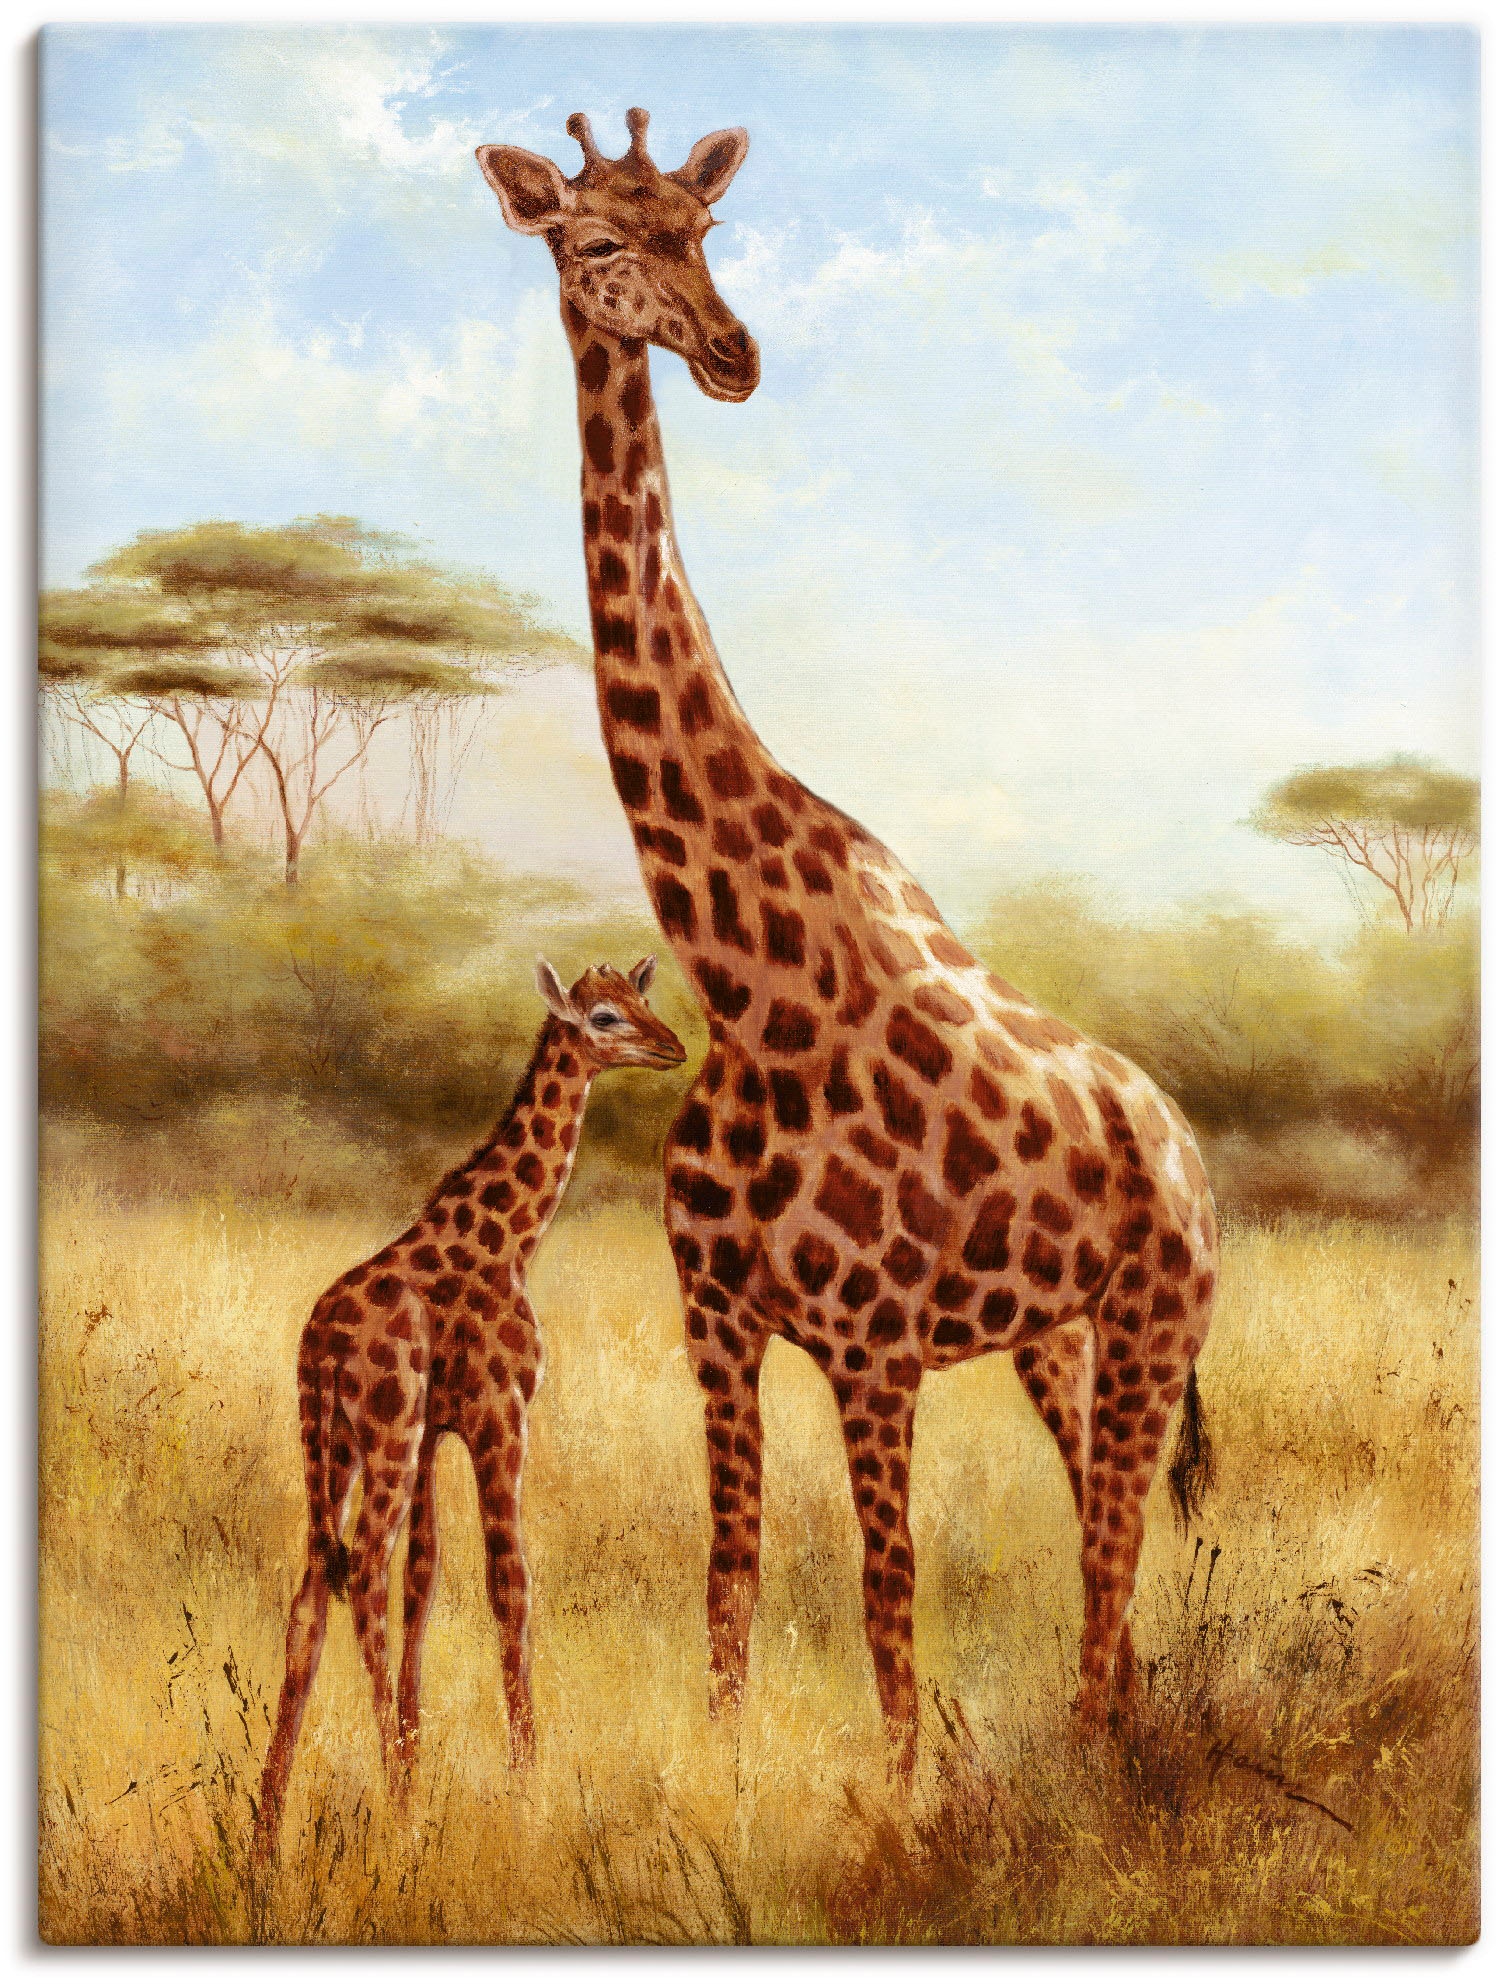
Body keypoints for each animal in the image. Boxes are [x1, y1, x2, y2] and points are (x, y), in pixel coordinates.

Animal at [252, 956, 685, 1862]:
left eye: (642, 998)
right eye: (603, 1017)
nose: (673, 1047)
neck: (513, 1237)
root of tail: (319, 1348)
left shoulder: (431, 1435)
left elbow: (427, 1581)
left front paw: (423, 1765)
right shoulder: (498, 1413)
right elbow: (508, 1582)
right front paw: (526, 1789)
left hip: (332, 1444)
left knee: (313, 1594)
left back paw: (267, 1828)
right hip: (379, 1433)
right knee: (362, 1574)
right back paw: (392, 1810)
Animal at [477, 111, 1219, 1774]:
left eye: (703, 227)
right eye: (596, 241)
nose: (733, 354)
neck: (753, 989)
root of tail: (1183, 1142)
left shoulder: (875, 1343)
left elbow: (890, 1584)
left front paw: (904, 1792)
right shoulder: (720, 1323)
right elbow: (734, 1570)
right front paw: (730, 1768)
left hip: (1156, 1317)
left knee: (1114, 1540)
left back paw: (1099, 1754)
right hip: (1056, 1339)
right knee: (1102, 1526)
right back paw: (1114, 1732)